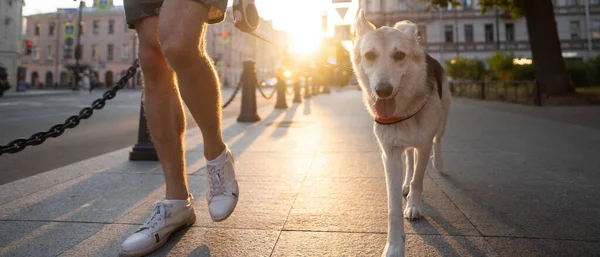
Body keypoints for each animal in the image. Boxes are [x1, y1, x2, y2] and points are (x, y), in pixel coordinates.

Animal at [352, 9, 450, 254]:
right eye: (369, 55)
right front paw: (394, 246)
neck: (404, 110)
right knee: (409, 159)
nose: (383, 91)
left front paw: (414, 206)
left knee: (438, 140)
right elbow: (393, 207)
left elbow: (418, 180)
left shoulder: (424, 145)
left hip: (444, 116)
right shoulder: (389, 155)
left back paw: (439, 163)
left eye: (399, 55)